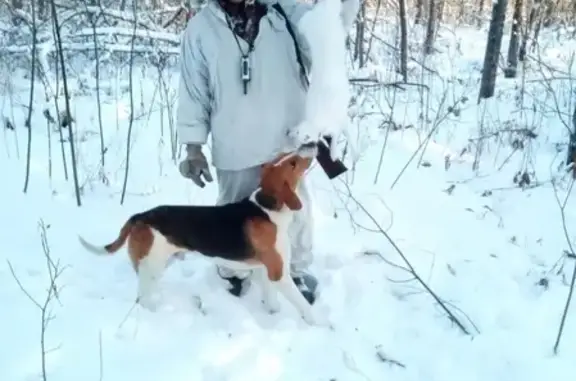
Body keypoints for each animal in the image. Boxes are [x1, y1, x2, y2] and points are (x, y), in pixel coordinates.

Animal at [79, 142, 326, 324]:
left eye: (284, 156)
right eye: (292, 162)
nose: (311, 143)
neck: (267, 208)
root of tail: (140, 216)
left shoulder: (264, 270)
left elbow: (271, 300)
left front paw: (273, 315)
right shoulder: (279, 273)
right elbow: (303, 305)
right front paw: (320, 324)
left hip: (158, 264)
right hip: (152, 265)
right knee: (142, 298)